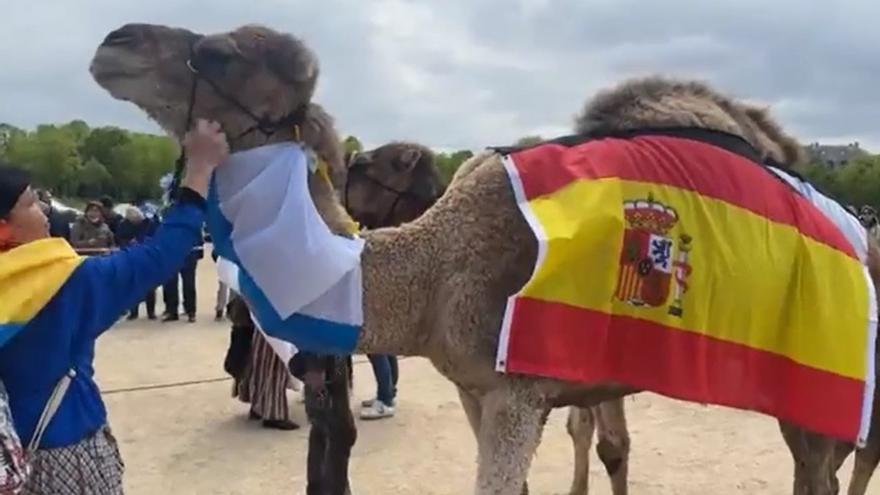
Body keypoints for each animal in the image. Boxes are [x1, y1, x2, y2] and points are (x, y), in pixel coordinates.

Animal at [87, 21, 880, 494]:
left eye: (223, 52)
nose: (113, 41)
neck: (433, 269)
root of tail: (861, 234)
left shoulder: (517, 391)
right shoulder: (476, 387)